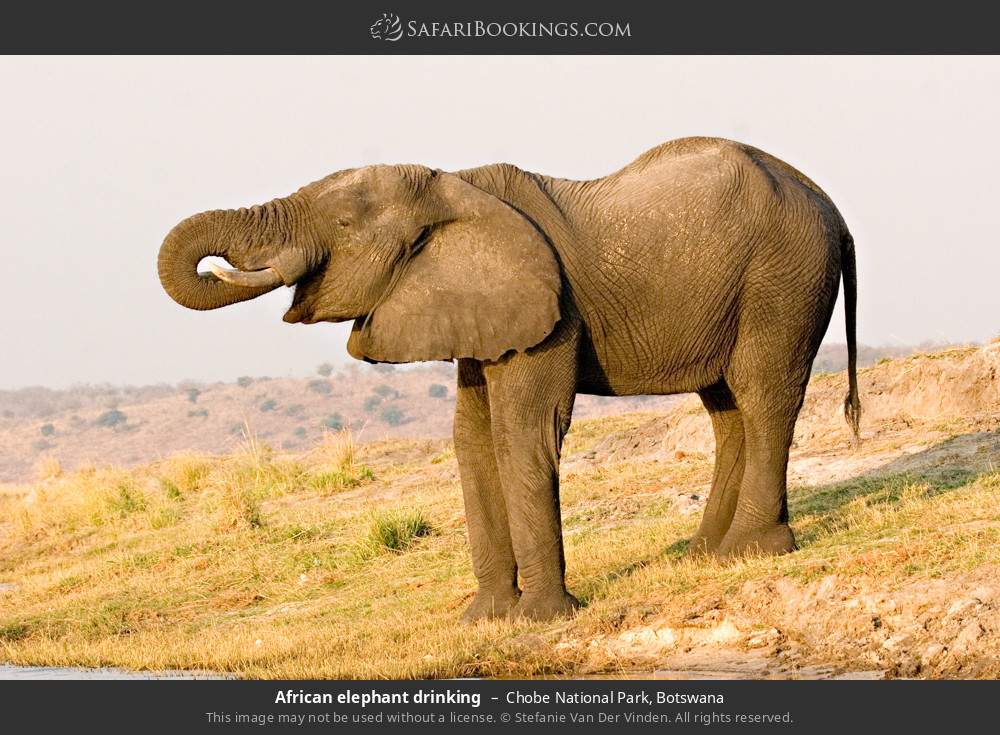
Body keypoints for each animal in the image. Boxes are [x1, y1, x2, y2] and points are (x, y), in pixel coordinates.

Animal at [158, 137, 860, 620]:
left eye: (345, 226)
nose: (220, 268)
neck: (454, 185)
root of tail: (831, 205)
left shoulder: (550, 315)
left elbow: (524, 432)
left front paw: (542, 618)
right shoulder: (474, 309)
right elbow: (471, 440)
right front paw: (485, 620)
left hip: (784, 278)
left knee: (763, 396)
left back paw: (755, 551)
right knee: (726, 409)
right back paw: (707, 553)